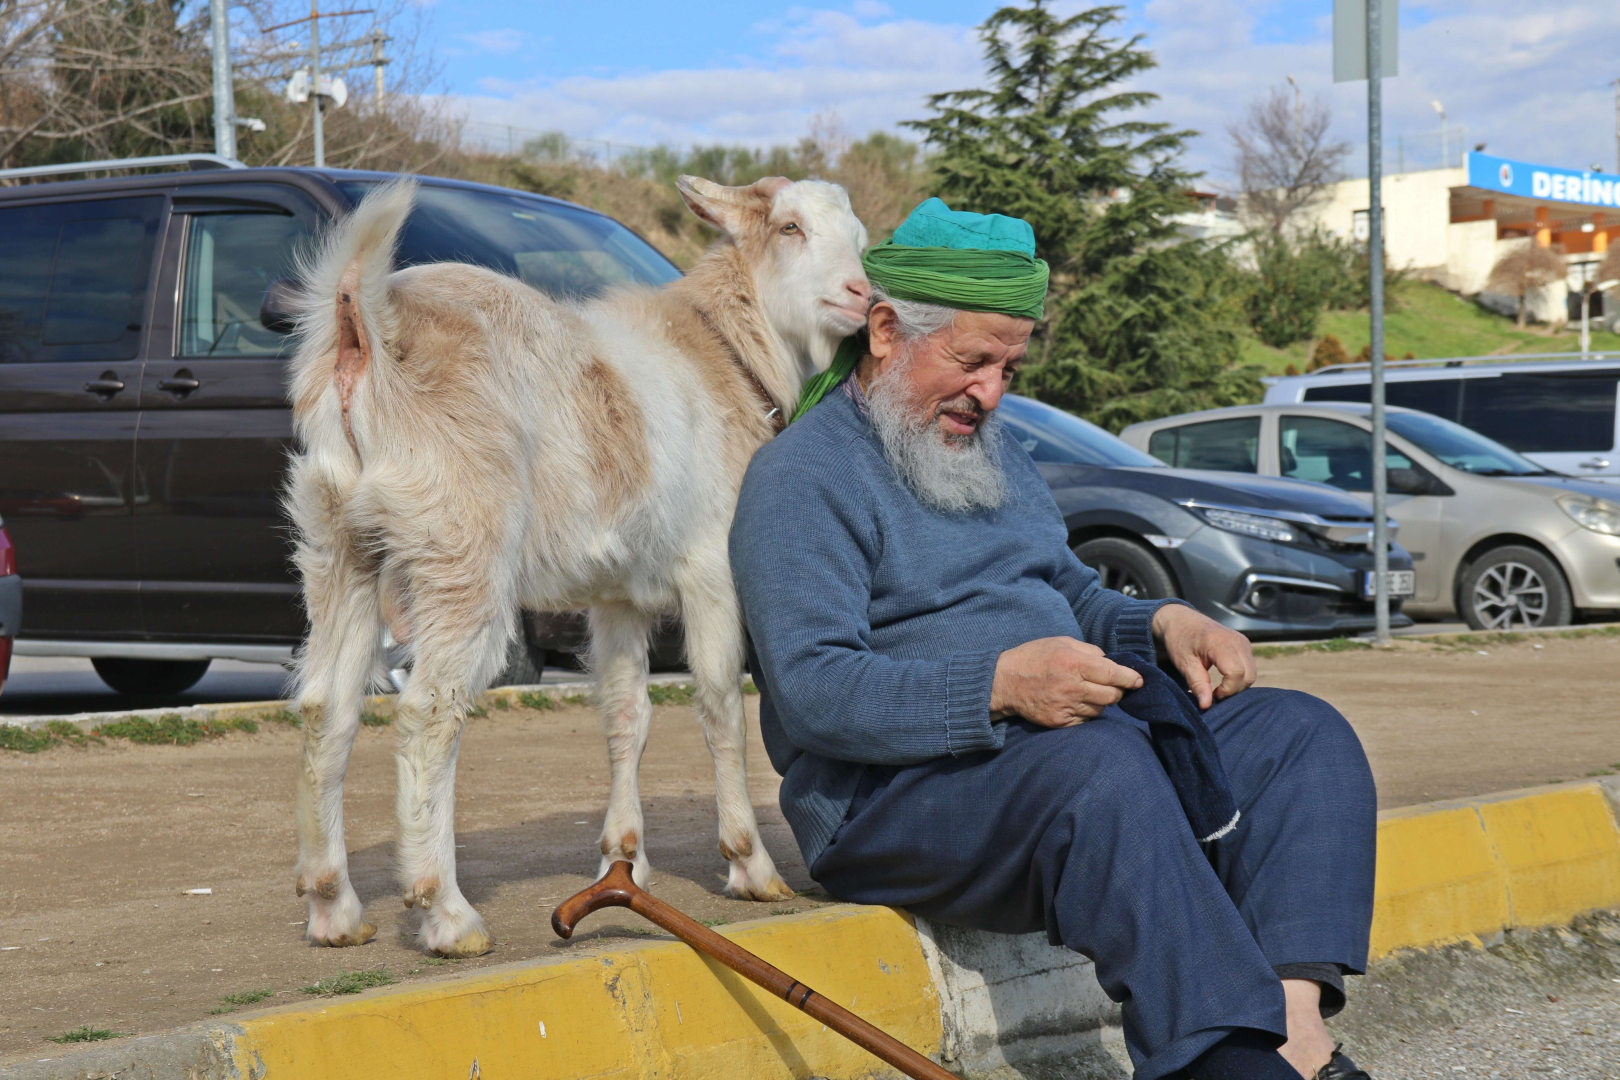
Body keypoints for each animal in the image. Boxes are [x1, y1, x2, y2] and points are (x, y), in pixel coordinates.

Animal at [284, 176, 870, 956]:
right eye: (790, 228)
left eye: (859, 239)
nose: (859, 294)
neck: (722, 352)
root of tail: (364, 326)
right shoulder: (711, 566)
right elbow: (720, 702)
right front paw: (750, 865)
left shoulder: (617, 594)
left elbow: (626, 713)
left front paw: (623, 860)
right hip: (460, 544)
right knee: (428, 708)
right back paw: (446, 912)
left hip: (341, 541)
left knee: (328, 705)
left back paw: (334, 907)